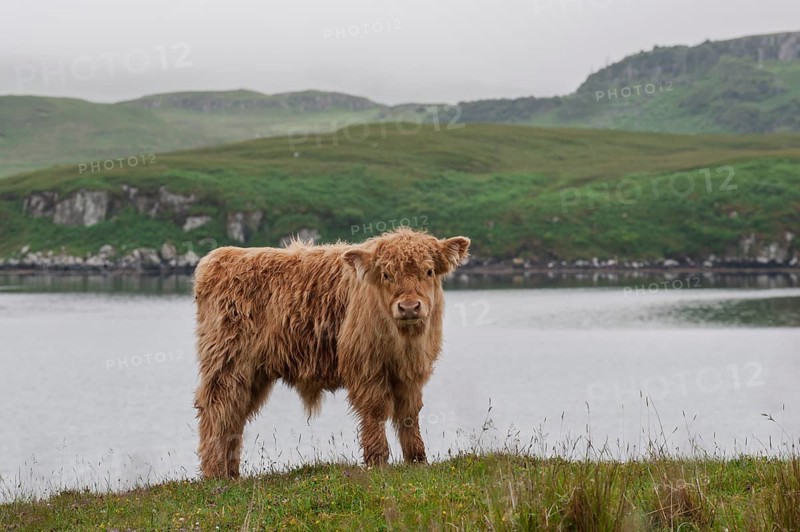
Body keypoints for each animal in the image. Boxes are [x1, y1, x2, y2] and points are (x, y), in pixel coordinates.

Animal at [193, 228, 470, 478]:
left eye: (429, 271)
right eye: (386, 274)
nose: (410, 306)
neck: (403, 340)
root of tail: (221, 256)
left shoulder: (412, 371)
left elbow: (409, 413)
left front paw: (417, 459)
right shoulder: (365, 366)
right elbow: (375, 410)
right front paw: (377, 461)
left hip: (252, 374)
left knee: (235, 415)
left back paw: (232, 474)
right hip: (227, 361)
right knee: (217, 409)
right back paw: (215, 473)